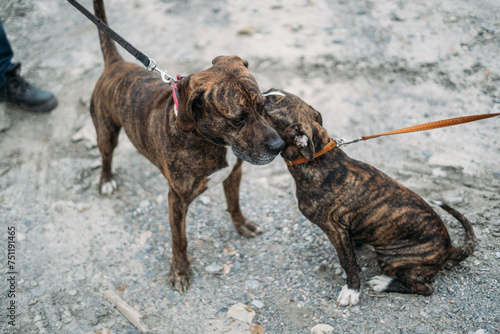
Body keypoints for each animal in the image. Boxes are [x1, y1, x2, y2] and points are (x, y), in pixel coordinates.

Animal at [91, 0, 286, 290]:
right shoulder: (177, 200)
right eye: (237, 120)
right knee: (106, 156)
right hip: (106, 132)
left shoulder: (234, 174)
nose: (279, 145)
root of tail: (117, 64)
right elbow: (179, 239)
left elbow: (235, 204)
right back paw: (106, 180)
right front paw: (180, 271)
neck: (207, 139)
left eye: (263, 106)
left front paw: (242, 225)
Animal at [264, 88, 474, 306]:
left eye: (264, 108)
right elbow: (350, 255)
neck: (318, 157)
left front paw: (352, 290)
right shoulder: (344, 229)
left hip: (392, 257)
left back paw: (384, 283)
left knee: (425, 287)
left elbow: (347, 261)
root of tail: (449, 248)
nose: (259, 91)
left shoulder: (335, 229)